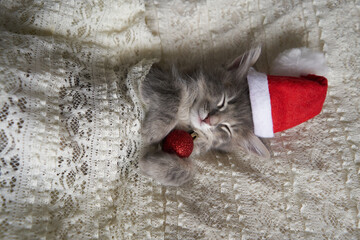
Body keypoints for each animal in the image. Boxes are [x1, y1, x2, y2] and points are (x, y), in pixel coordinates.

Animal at [139, 47, 268, 186]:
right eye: (223, 102)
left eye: (226, 128)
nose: (209, 120)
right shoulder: (153, 77)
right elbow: (175, 97)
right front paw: (155, 131)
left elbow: (190, 171)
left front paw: (152, 164)